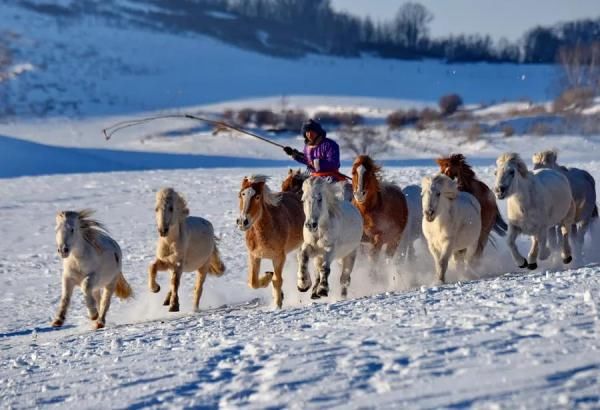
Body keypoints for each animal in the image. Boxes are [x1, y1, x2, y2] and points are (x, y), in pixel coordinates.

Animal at [237, 174, 304, 308]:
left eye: (257, 197)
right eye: (241, 194)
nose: (242, 222)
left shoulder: (279, 257)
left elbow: (277, 280)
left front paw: (277, 304)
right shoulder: (254, 256)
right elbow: (253, 282)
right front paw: (268, 275)